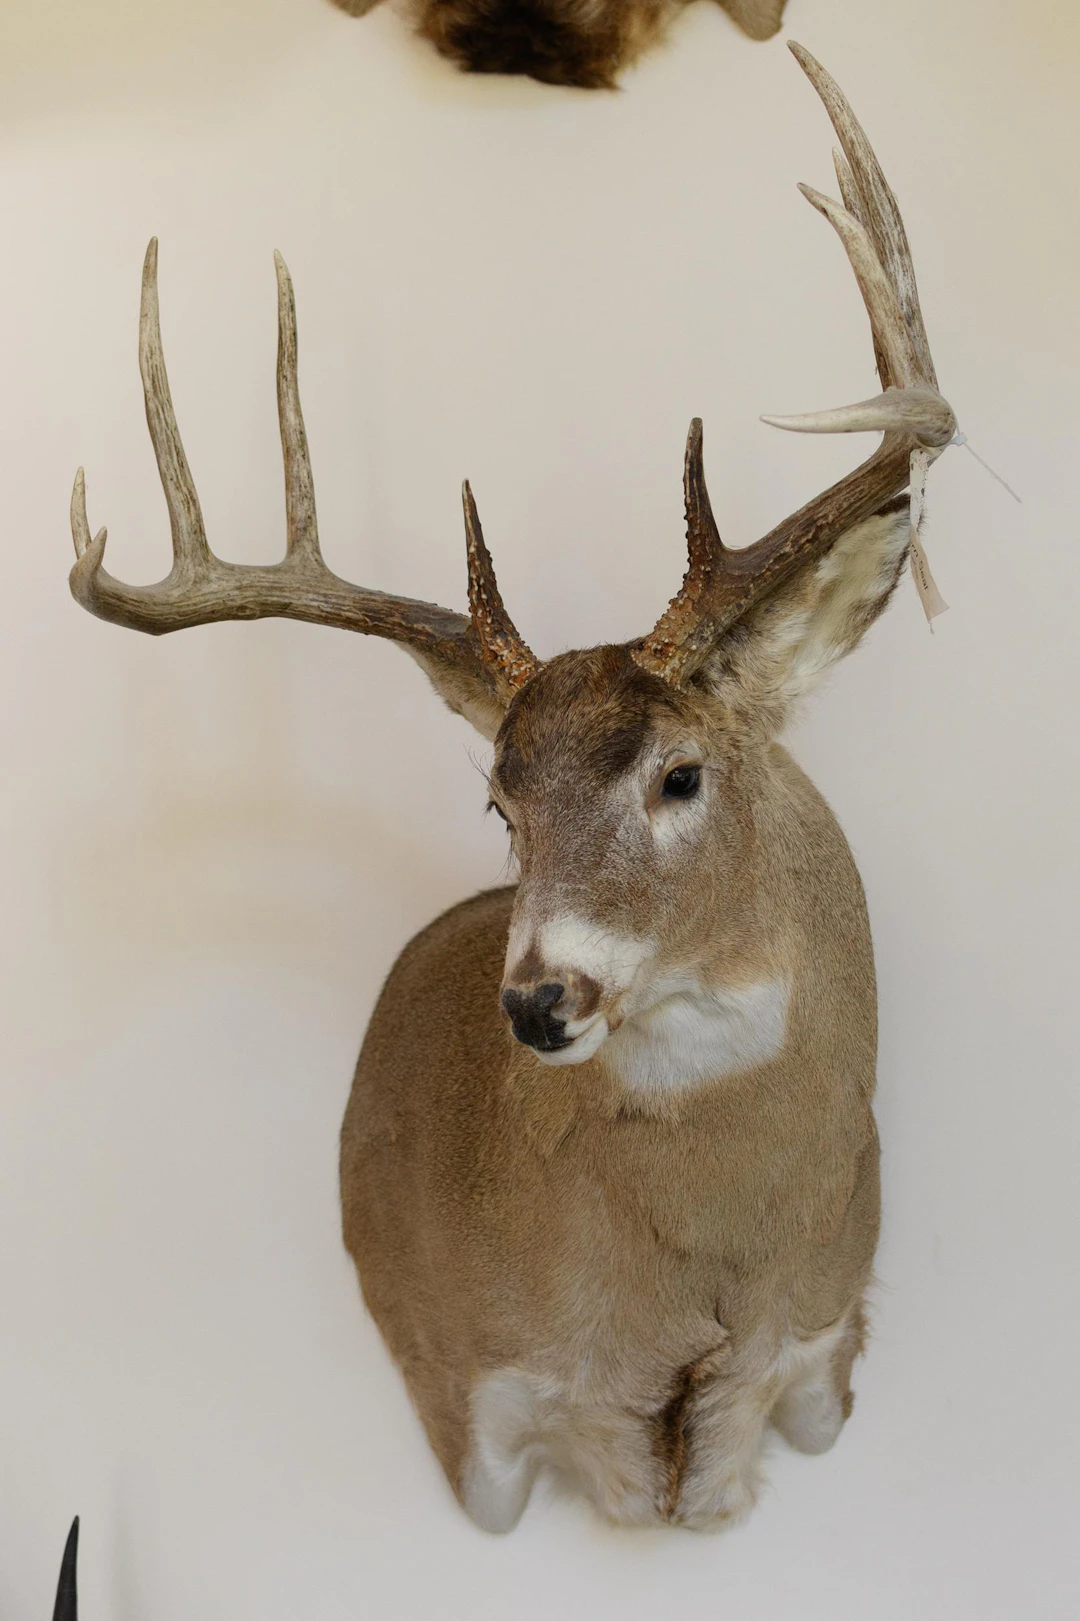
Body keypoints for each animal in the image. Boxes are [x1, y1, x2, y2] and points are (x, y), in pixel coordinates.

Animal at [69, 44, 957, 1531]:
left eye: (680, 772)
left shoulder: (830, 1358)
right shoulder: (468, 1413)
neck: (700, 1294)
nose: (538, 1000)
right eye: (500, 800)